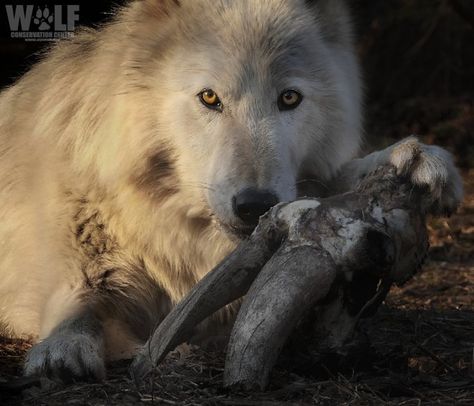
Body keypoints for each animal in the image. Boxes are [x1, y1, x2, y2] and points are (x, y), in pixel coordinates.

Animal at [0, 0, 462, 380]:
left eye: (289, 98)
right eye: (209, 97)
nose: (255, 205)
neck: (179, 233)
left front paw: (416, 160)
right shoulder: (77, 266)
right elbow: (79, 307)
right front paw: (63, 350)